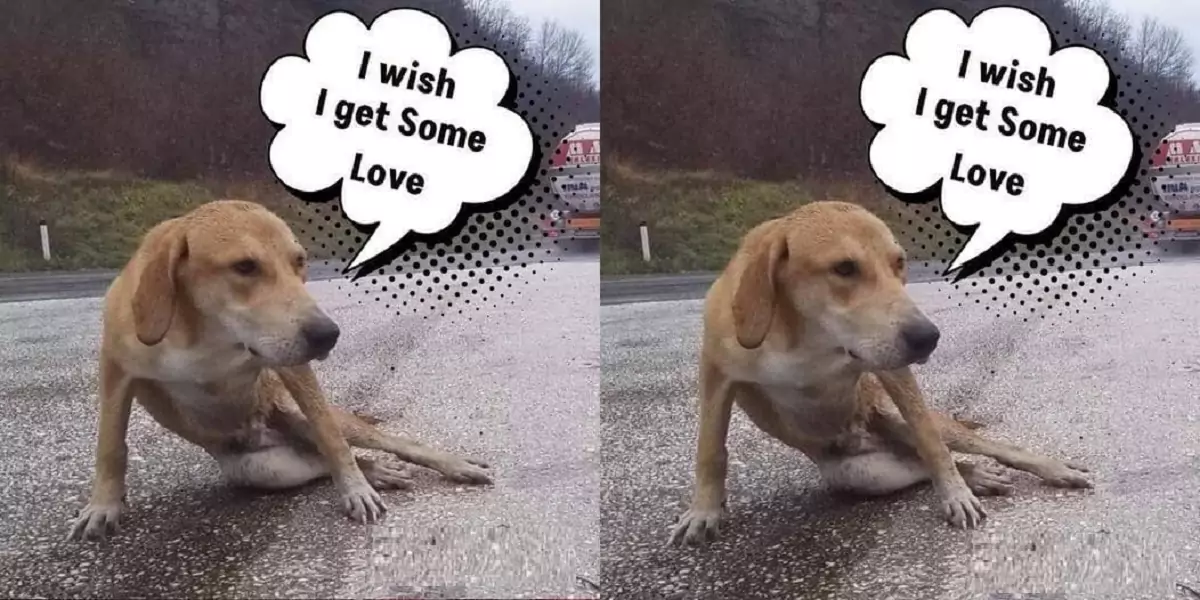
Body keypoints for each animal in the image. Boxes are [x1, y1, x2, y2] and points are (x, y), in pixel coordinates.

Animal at [69, 199, 492, 542]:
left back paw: (449, 467)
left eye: (299, 262)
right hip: (263, 469)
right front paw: (104, 505)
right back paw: (378, 473)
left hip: (303, 417)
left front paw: (354, 489)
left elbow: (333, 439)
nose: (328, 335)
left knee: (374, 442)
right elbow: (110, 443)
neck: (206, 332)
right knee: (320, 460)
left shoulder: (292, 367)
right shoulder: (116, 369)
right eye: (244, 266)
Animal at [672, 200, 1094, 544]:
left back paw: (1049, 471)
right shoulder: (716, 374)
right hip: (862, 474)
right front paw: (705, 510)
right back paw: (978, 476)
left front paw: (955, 494)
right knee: (920, 463)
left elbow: (932, 444)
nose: (928, 338)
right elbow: (710, 448)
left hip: (899, 420)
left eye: (899, 263)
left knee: (972, 448)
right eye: (844, 268)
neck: (806, 336)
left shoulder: (892, 371)